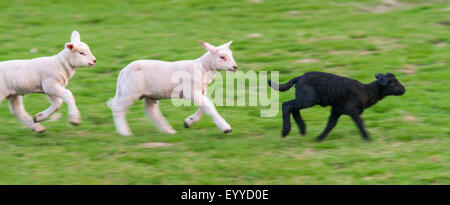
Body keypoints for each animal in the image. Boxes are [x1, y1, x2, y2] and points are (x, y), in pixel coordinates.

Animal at [108, 40, 239, 135]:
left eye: (231, 55)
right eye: (222, 57)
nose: (235, 67)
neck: (203, 68)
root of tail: (124, 70)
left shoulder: (201, 91)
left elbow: (206, 106)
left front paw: (189, 122)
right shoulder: (190, 91)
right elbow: (208, 106)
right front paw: (226, 128)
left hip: (150, 95)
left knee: (151, 112)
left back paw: (168, 131)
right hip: (130, 91)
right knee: (117, 107)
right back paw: (124, 132)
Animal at [268, 71, 406, 141]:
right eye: (392, 83)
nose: (404, 90)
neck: (367, 91)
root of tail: (299, 77)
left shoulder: (337, 109)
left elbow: (331, 124)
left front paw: (319, 138)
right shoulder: (352, 109)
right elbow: (360, 123)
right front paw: (368, 138)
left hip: (305, 98)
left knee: (294, 108)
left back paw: (302, 129)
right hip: (308, 99)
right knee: (287, 105)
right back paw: (285, 131)